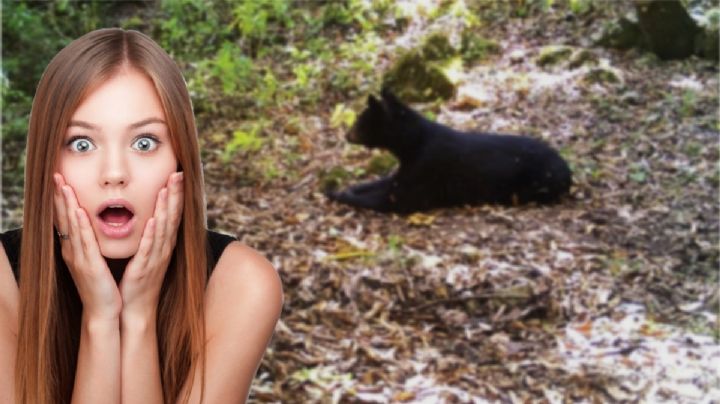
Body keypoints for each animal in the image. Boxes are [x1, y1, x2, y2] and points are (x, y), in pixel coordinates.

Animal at [325, 88, 572, 214]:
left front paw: (337, 193)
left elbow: (386, 199)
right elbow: (379, 182)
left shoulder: (420, 174)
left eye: (361, 120)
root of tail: (568, 171)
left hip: (533, 185)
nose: (346, 135)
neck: (412, 143)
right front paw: (346, 187)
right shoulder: (406, 170)